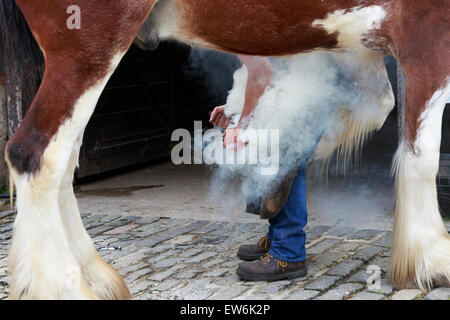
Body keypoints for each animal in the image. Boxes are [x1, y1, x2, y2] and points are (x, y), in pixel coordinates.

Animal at [0, 0, 448, 300]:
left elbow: (376, 106)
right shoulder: (425, 33)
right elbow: (420, 155)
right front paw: (431, 258)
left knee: (64, 164)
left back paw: (95, 275)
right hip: (88, 46)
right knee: (35, 155)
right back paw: (66, 285)